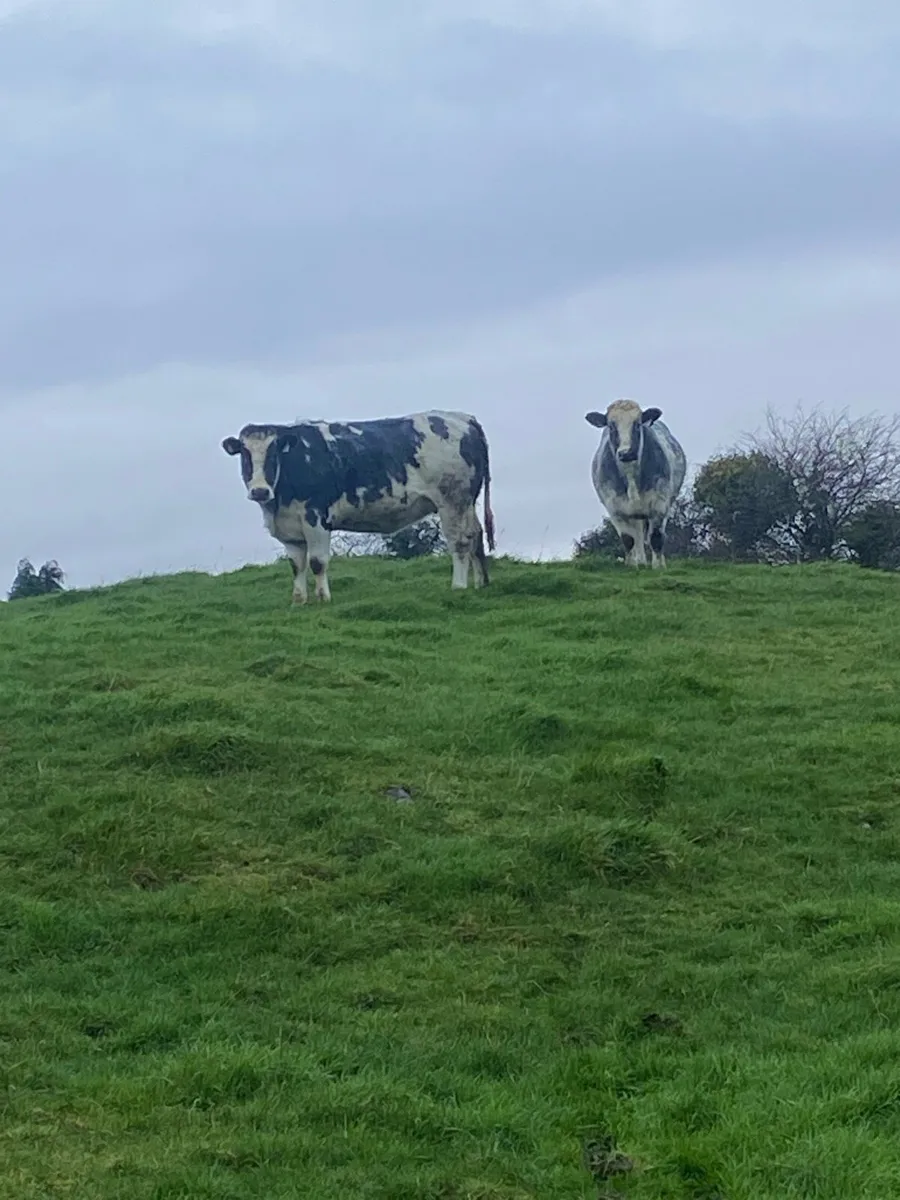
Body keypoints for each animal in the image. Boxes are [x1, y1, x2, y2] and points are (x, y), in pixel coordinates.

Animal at [222, 410, 495, 603]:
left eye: (273, 454)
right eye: (244, 455)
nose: (259, 490)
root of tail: (463, 418)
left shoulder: (316, 518)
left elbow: (317, 562)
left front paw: (323, 599)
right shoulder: (290, 529)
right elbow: (296, 565)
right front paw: (298, 600)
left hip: (453, 501)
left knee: (460, 542)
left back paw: (458, 586)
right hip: (466, 502)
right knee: (475, 535)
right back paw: (481, 583)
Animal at [584, 399, 686, 568]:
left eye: (637, 424)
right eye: (611, 426)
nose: (626, 452)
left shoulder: (659, 504)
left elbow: (656, 538)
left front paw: (658, 567)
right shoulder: (615, 509)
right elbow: (628, 539)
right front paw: (632, 566)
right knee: (637, 536)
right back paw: (641, 561)